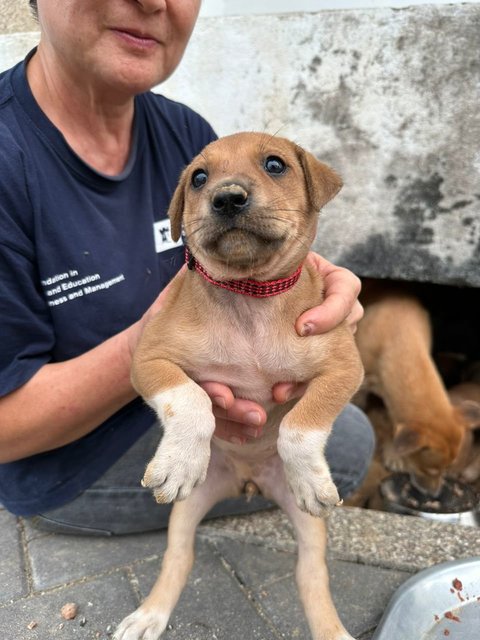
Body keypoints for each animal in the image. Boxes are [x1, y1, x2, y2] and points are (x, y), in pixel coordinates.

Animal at [115, 131, 364, 640]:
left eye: (275, 165)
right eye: (198, 177)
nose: (227, 197)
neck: (250, 298)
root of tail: (247, 481)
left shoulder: (345, 367)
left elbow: (300, 425)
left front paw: (310, 474)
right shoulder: (148, 358)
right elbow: (189, 398)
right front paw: (178, 461)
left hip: (308, 525)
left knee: (311, 575)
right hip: (188, 509)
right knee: (178, 557)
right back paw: (149, 615)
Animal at [352, 282, 480, 498]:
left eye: (448, 468)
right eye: (429, 471)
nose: (434, 495)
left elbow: (393, 425)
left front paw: (394, 454)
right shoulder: (358, 387)